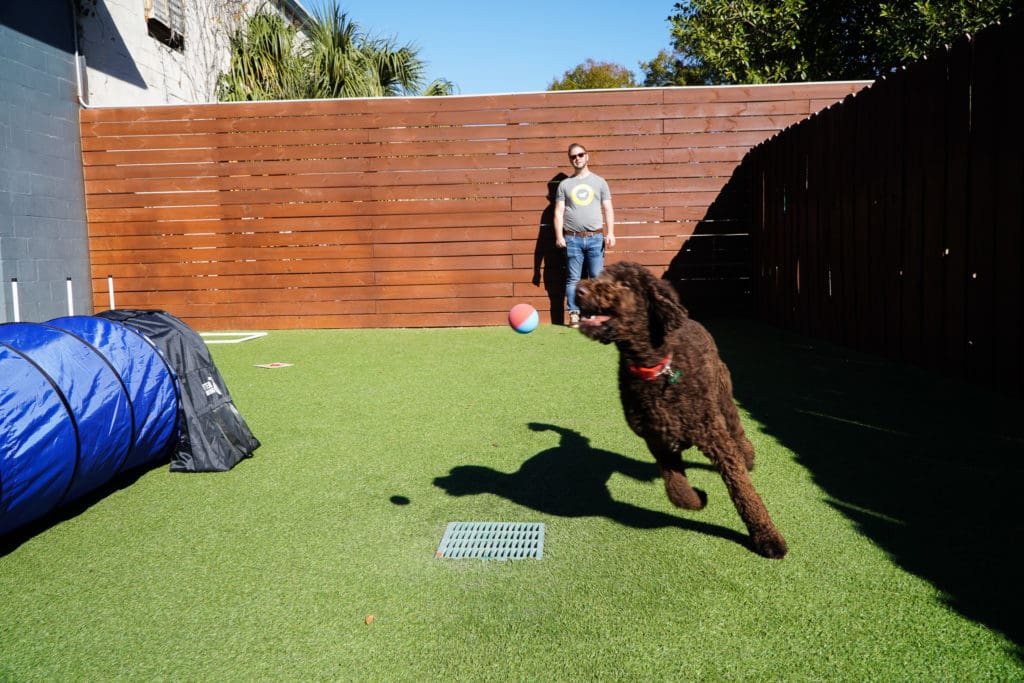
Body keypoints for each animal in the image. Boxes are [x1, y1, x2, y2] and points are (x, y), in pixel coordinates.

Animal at [581, 259, 786, 557]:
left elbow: (744, 491)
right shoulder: (659, 443)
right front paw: (697, 498)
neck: (654, 370)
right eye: (600, 276)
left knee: (737, 432)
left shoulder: (715, 439)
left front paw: (768, 538)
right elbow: (676, 490)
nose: (579, 289)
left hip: (723, 397)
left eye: (624, 284)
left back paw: (747, 456)